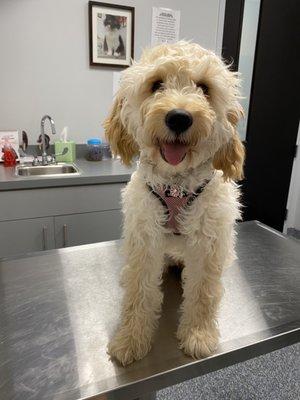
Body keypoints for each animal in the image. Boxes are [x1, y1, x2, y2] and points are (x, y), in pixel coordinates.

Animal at [104, 40, 245, 366]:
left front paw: (198, 335)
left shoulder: (208, 243)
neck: (177, 185)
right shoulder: (144, 237)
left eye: (204, 88)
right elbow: (139, 290)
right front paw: (130, 338)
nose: (179, 117)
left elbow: (203, 291)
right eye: (156, 84)